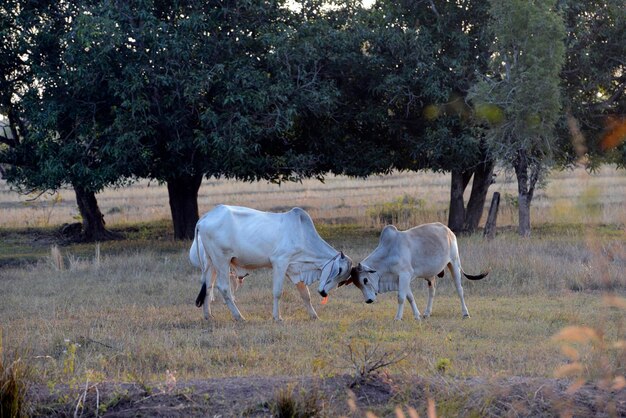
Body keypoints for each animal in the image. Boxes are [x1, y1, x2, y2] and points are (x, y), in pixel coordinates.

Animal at [193, 204, 354, 322]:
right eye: (339, 270)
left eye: (343, 279)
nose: (323, 292)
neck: (303, 235)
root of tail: (205, 218)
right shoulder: (280, 262)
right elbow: (277, 292)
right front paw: (277, 317)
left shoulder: (293, 268)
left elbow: (305, 294)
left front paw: (314, 316)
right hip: (222, 260)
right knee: (224, 288)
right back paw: (239, 317)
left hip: (211, 262)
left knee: (208, 287)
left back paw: (208, 316)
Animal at [344, 222, 486, 320]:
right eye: (357, 285)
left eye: (365, 280)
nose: (368, 300)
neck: (388, 254)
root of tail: (448, 230)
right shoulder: (400, 279)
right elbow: (410, 297)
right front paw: (417, 316)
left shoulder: (404, 275)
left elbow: (401, 298)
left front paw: (398, 318)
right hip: (431, 275)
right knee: (432, 291)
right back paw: (427, 313)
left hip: (454, 263)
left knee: (459, 289)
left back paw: (465, 313)